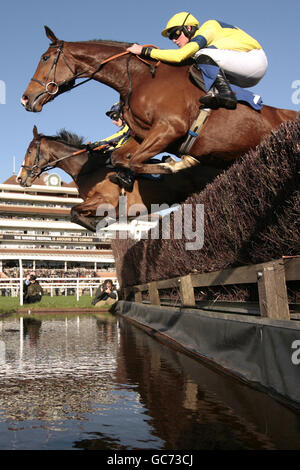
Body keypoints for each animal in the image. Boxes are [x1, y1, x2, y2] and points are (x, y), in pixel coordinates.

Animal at [17, 126, 221, 231]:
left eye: (29, 151)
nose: (20, 178)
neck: (89, 169)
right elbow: (76, 213)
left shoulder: (107, 200)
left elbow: (73, 212)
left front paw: (98, 226)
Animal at [20, 26, 298, 176]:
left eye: (45, 58)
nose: (25, 98)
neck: (138, 78)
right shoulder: (144, 134)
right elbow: (120, 158)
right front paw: (172, 164)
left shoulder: (169, 128)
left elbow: (131, 161)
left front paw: (174, 165)